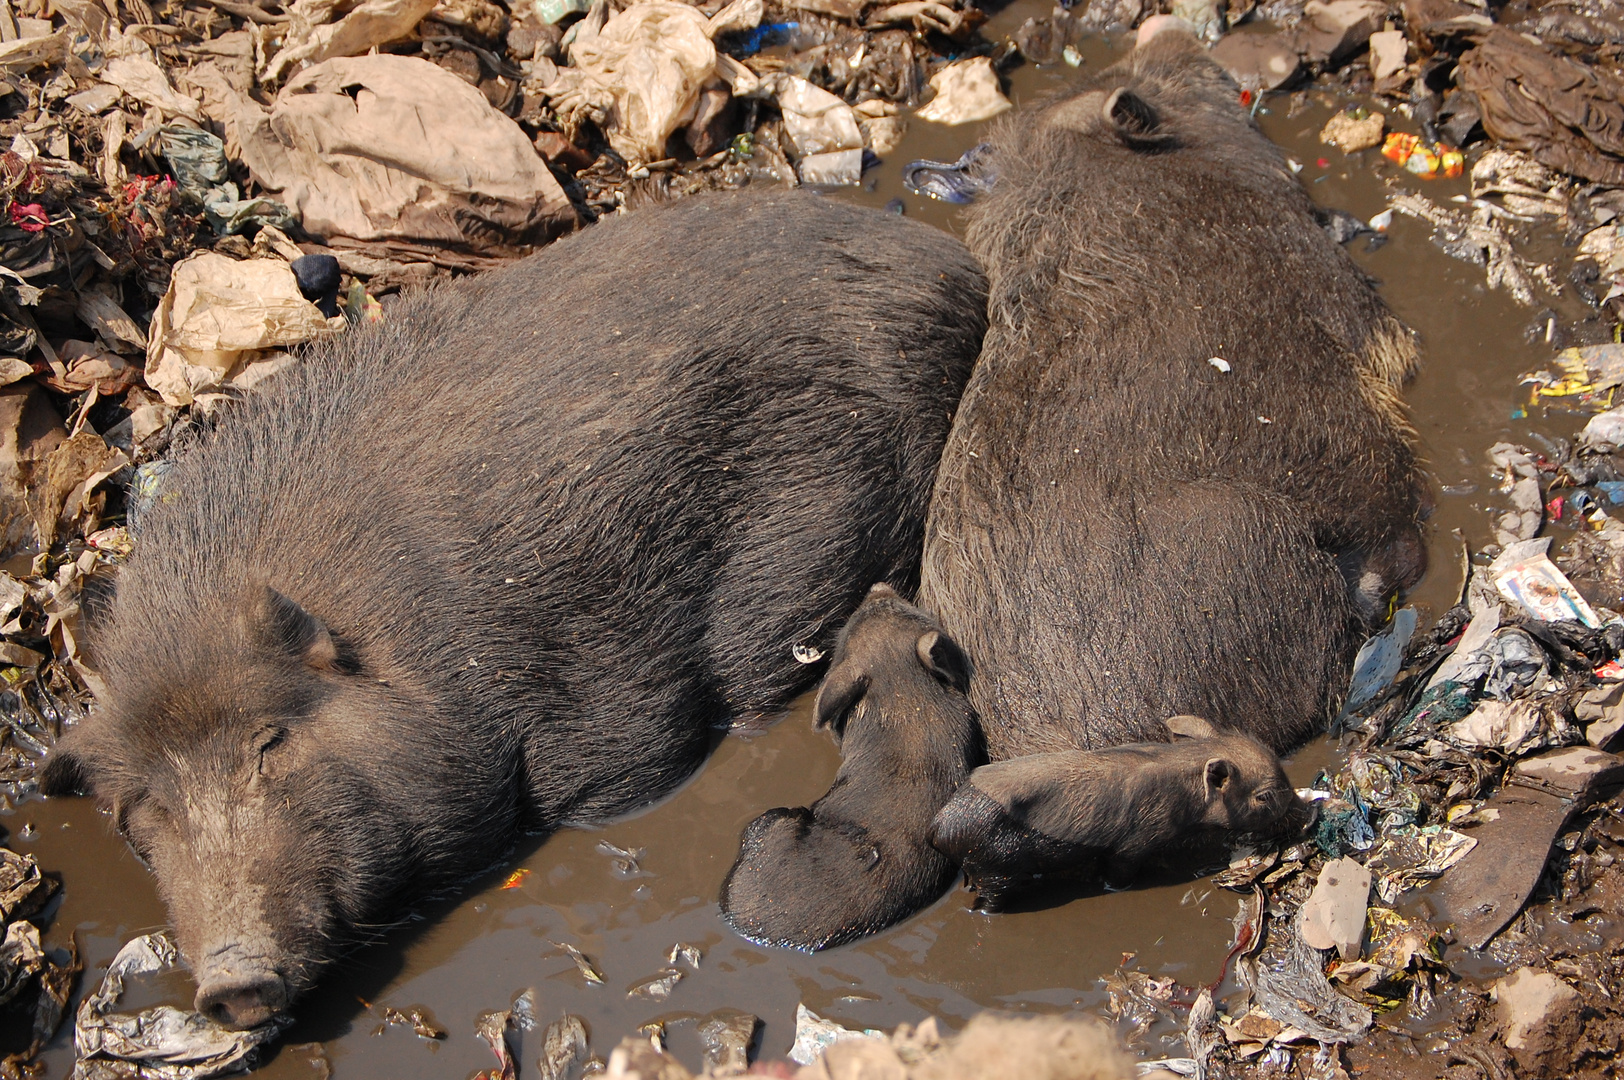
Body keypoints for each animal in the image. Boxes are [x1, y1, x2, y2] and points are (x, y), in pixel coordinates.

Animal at [928, 714, 1305, 909]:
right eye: (1264, 797)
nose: (1305, 810)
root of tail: (937, 828)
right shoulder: (1132, 844)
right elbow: (1119, 874)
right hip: (993, 868)